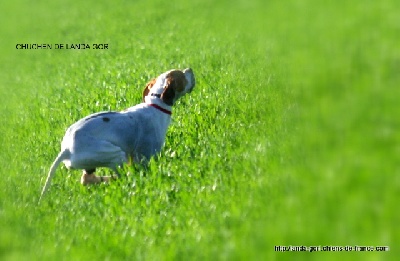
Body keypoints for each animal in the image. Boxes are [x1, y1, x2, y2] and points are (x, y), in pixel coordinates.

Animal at [39, 67, 196, 201]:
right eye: (182, 75)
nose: (190, 69)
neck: (155, 104)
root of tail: (66, 149)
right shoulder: (145, 156)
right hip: (114, 154)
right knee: (123, 175)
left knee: (87, 179)